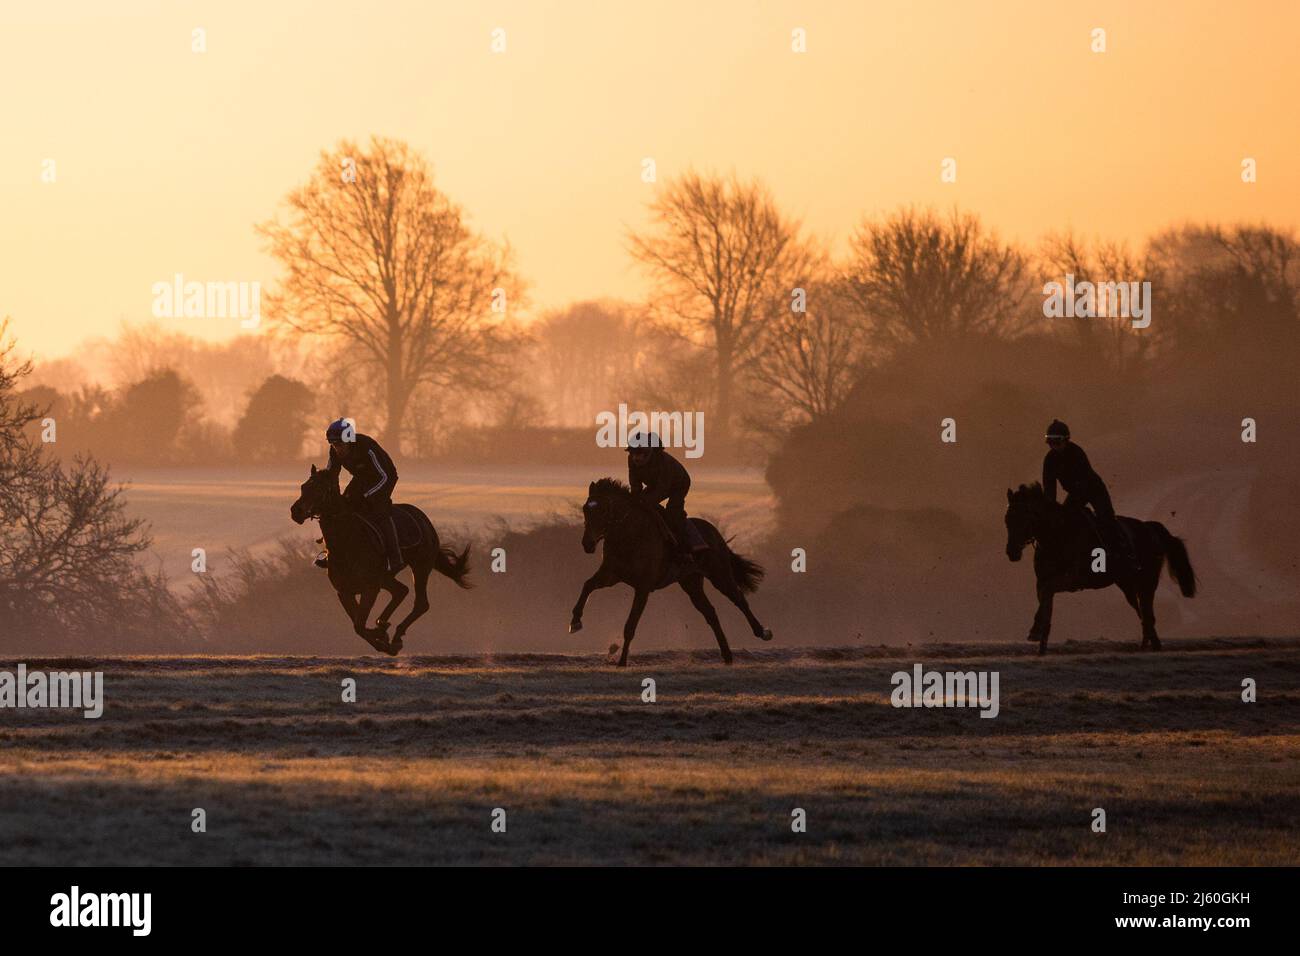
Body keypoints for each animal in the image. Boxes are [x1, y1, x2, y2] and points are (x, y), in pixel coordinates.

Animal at [291, 465, 473, 658]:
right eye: (304, 487)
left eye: (321, 490)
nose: (296, 511)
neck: (347, 542)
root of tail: (424, 520)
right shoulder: (345, 592)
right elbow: (358, 625)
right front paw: (381, 635)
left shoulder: (370, 589)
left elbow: (359, 625)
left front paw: (385, 639)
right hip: (386, 578)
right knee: (401, 590)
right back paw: (384, 625)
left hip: (420, 566)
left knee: (420, 603)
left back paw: (396, 635)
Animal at [569, 476, 769, 665]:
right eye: (585, 509)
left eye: (602, 510)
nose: (587, 544)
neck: (629, 534)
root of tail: (714, 532)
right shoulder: (611, 575)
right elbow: (587, 585)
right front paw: (575, 622)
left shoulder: (643, 587)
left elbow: (630, 625)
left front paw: (622, 662)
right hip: (691, 582)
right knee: (710, 612)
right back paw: (727, 656)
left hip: (719, 574)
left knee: (739, 599)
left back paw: (762, 632)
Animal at [1003, 481, 1196, 655]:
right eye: (1007, 519)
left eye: (1025, 519)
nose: (1012, 552)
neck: (1058, 535)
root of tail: (1150, 527)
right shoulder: (1042, 582)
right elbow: (1046, 604)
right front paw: (1040, 643)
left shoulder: (1072, 579)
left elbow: (1048, 593)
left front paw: (1035, 632)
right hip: (1127, 584)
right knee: (1141, 612)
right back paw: (1147, 646)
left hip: (1147, 581)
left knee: (1148, 613)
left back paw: (1153, 646)